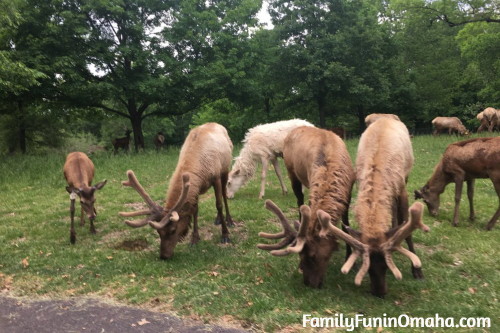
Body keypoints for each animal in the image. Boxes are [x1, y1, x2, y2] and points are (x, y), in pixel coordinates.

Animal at [119, 122, 234, 260]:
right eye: (158, 232)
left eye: (173, 230)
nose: (163, 256)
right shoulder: (194, 188)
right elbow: (195, 210)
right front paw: (194, 238)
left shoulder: (215, 177)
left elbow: (219, 204)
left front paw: (225, 235)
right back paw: (217, 219)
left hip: (225, 169)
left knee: (223, 194)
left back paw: (229, 220)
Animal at [258, 126, 356, 286]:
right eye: (300, 255)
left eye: (312, 256)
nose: (309, 283)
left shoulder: (348, 195)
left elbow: (345, 225)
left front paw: (349, 258)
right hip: (292, 172)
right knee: (299, 201)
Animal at [316, 118, 430, 296]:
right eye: (368, 268)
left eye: (385, 266)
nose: (379, 292)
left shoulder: (402, 189)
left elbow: (408, 231)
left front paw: (417, 271)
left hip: (406, 176)